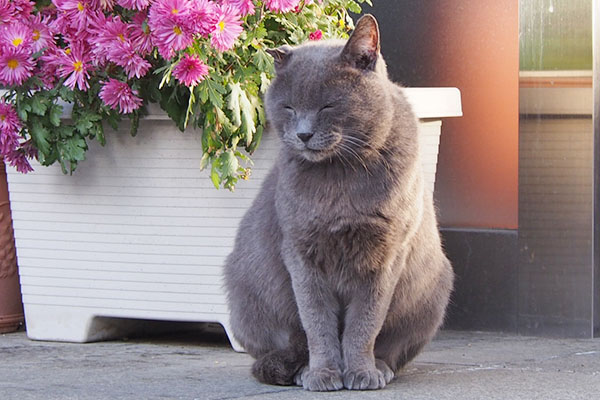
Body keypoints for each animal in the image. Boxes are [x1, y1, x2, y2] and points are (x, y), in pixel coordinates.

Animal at [223, 14, 452, 390]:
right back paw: (302, 370)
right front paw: (324, 374)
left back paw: (381, 367)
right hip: (244, 288)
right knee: (286, 346)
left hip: (433, 290)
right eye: (288, 107)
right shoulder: (301, 254)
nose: (303, 134)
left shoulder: (387, 255)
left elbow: (365, 323)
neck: (338, 178)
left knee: (393, 348)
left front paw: (361, 372)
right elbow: (317, 323)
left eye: (328, 105)